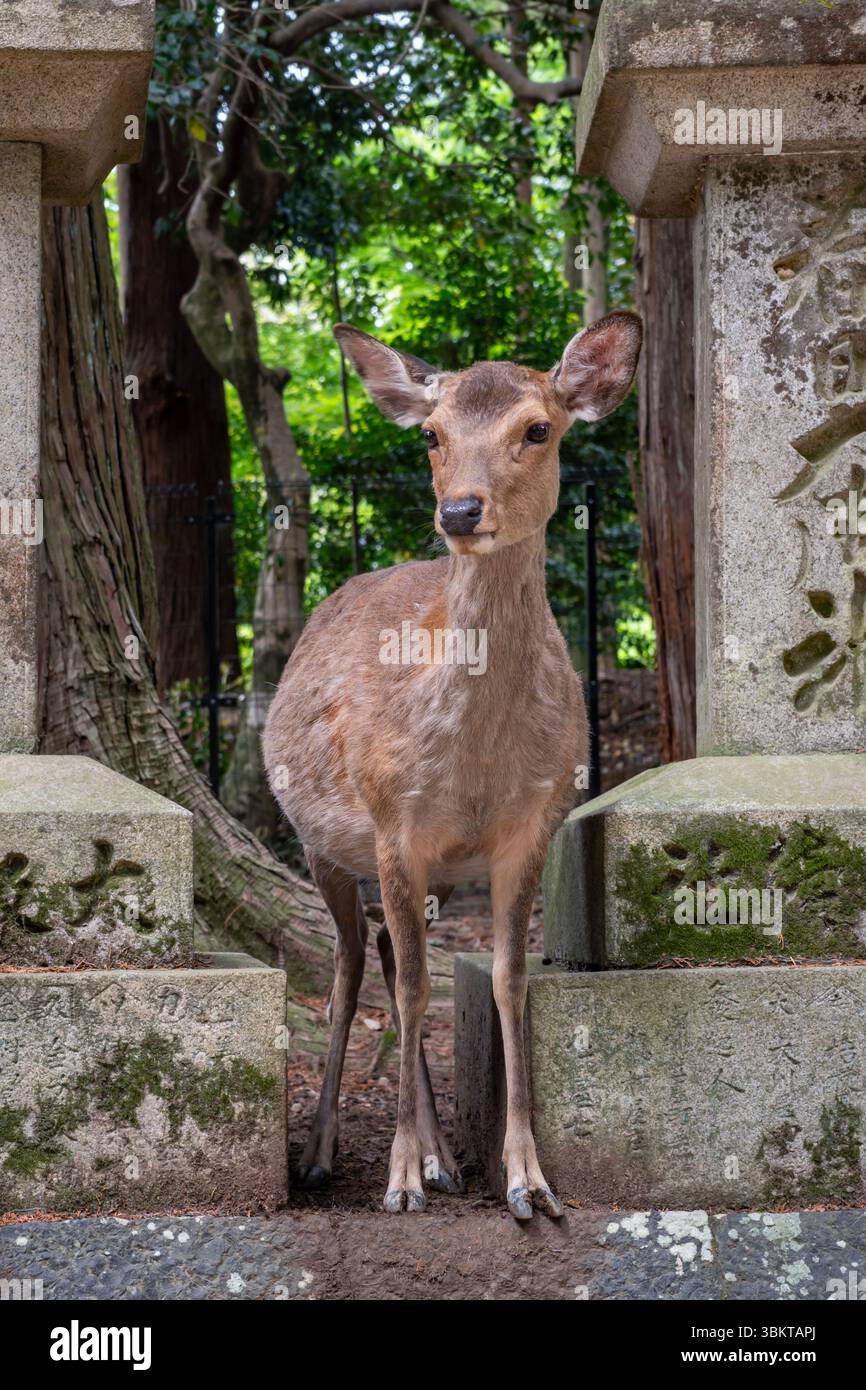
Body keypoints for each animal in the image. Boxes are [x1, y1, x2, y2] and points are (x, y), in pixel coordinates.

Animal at [263, 310, 642, 1219]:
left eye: (538, 429)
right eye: (431, 434)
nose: (460, 510)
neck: (476, 764)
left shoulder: (530, 826)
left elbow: (505, 981)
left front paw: (528, 1181)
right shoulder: (393, 824)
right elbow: (408, 991)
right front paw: (399, 1180)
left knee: (388, 951)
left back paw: (445, 1159)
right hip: (320, 843)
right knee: (352, 967)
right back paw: (328, 1155)